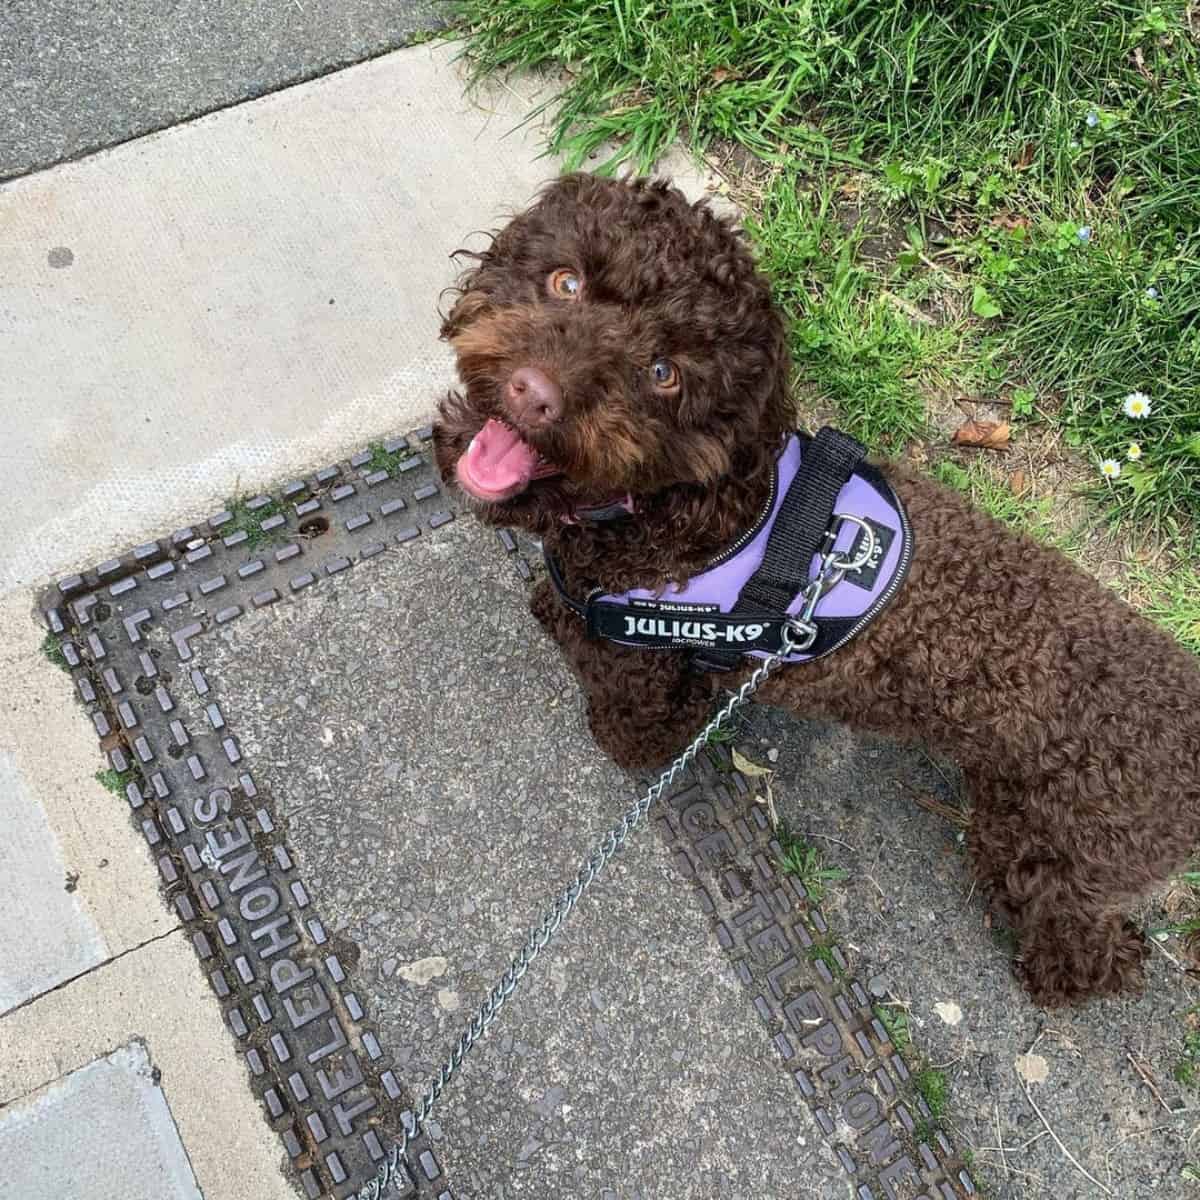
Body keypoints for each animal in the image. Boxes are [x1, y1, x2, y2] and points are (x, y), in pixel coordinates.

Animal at [436, 171, 1200, 1012]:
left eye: (664, 373)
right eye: (565, 282)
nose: (533, 393)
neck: (676, 512)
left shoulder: (656, 676)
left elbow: (636, 727)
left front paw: (617, 739)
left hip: (1057, 853)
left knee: (1072, 935)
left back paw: (1076, 976)